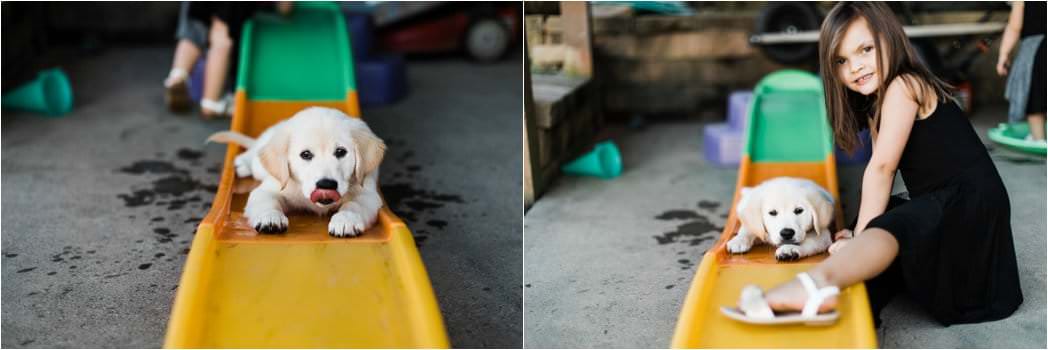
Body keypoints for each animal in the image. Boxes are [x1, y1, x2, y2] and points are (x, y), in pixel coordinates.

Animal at [206, 106, 387, 237]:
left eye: (341, 152)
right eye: (305, 154)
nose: (326, 184)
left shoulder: (367, 193)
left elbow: (353, 204)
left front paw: (346, 219)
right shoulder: (270, 188)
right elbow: (266, 201)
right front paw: (270, 218)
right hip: (260, 164)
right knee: (254, 152)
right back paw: (242, 162)